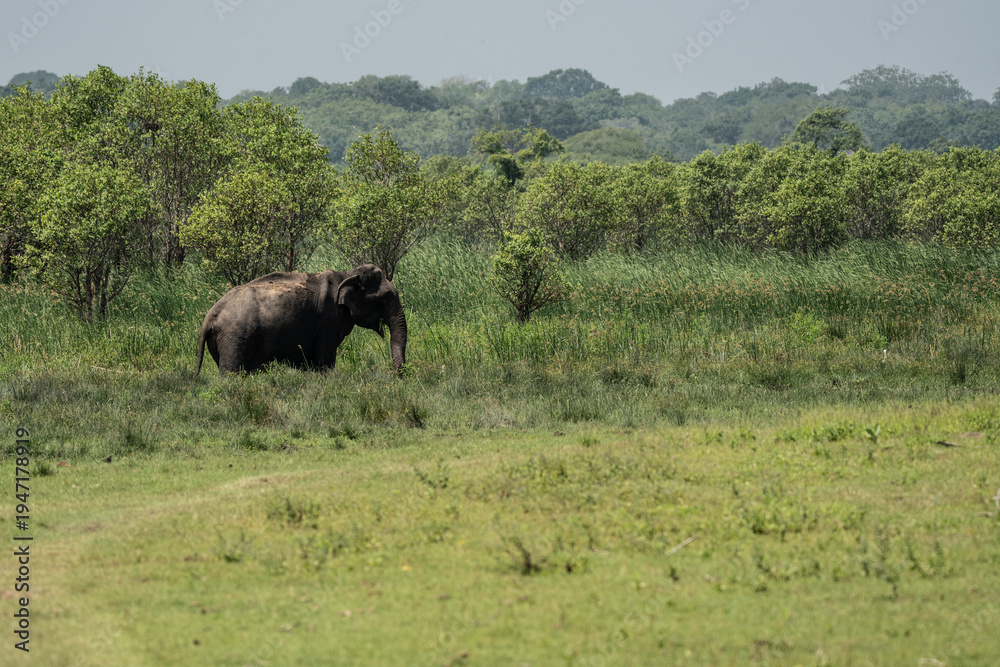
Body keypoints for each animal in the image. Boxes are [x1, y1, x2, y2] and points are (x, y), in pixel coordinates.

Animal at [195, 264, 406, 375]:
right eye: (386, 297)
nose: (398, 374)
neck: (347, 275)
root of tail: (209, 317)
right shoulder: (329, 319)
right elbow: (324, 361)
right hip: (233, 337)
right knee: (231, 372)